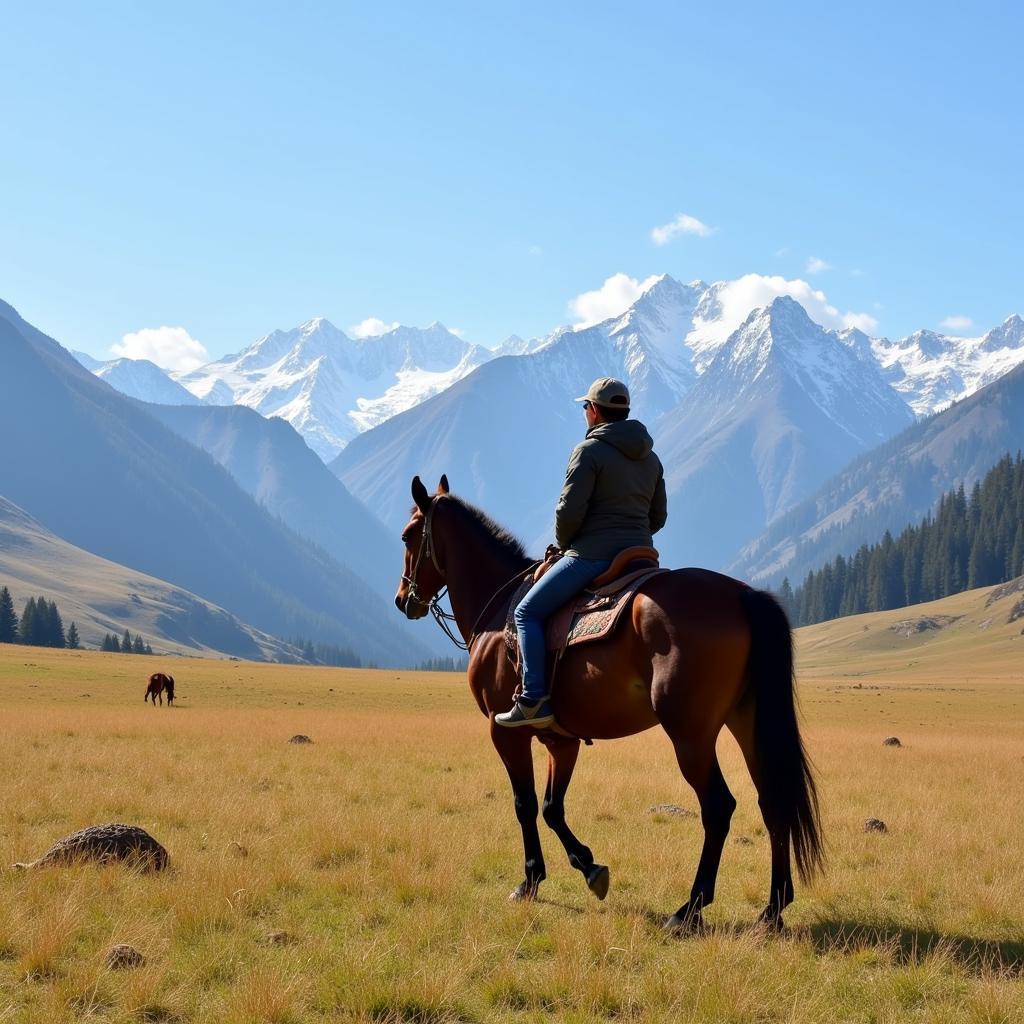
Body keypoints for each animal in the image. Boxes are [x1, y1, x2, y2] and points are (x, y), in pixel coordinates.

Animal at [393, 475, 823, 933]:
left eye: (407, 536)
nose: (403, 599)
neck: (497, 614)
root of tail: (742, 595)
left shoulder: (505, 731)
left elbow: (525, 805)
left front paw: (530, 881)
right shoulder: (560, 741)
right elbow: (552, 808)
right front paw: (589, 868)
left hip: (690, 735)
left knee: (718, 808)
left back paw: (689, 909)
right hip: (748, 724)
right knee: (773, 802)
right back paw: (772, 911)